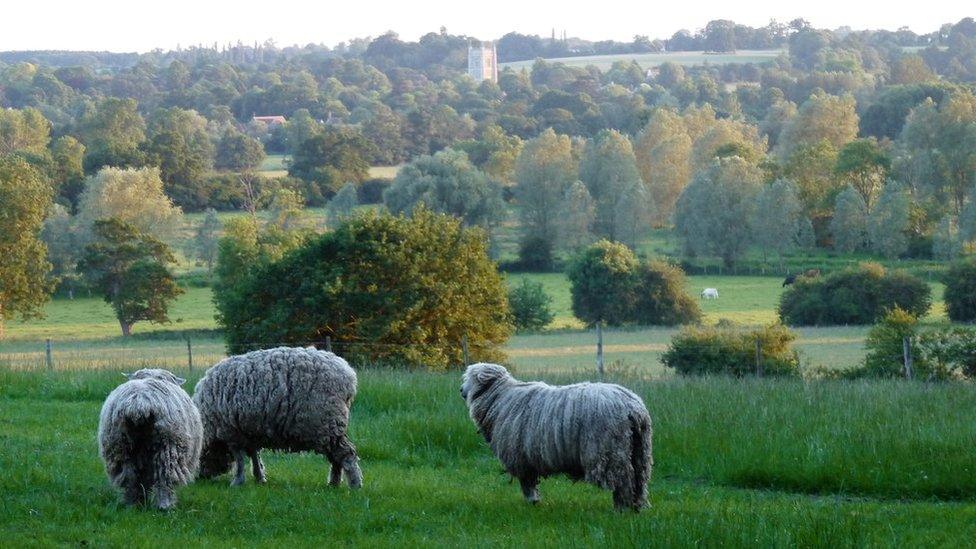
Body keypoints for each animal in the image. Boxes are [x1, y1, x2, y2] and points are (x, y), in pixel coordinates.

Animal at [97, 368, 204, 510]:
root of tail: (139, 403)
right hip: (167, 445)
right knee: (165, 477)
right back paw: (164, 505)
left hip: (120, 445)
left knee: (129, 477)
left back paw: (133, 504)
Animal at [191, 346, 362, 488]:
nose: (199, 478)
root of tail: (348, 375)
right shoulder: (250, 433)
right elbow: (254, 456)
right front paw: (259, 478)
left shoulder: (231, 432)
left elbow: (239, 460)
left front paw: (237, 482)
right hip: (329, 429)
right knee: (336, 458)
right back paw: (334, 484)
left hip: (326, 424)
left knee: (346, 454)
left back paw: (354, 484)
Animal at [462, 364, 652, 510]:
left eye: (469, 378)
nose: (461, 390)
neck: (500, 399)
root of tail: (634, 409)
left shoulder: (521, 458)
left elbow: (527, 483)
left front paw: (532, 501)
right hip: (639, 450)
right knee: (639, 478)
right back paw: (637, 506)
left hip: (611, 451)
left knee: (623, 479)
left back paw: (622, 508)